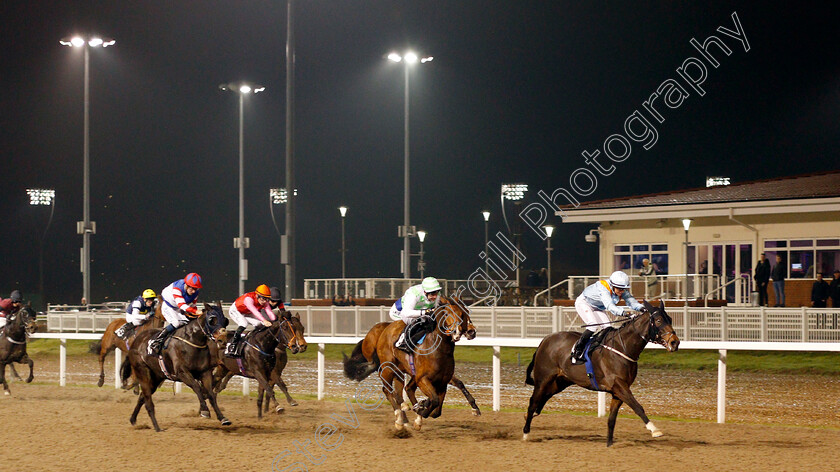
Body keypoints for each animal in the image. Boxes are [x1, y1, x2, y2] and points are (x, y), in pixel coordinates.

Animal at [121, 302, 230, 432]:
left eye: (225, 320)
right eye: (212, 319)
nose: (222, 340)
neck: (193, 341)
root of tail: (135, 342)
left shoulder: (205, 373)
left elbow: (211, 394)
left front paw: (223, 418)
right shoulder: (182, 373)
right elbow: (197, 387)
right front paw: (204, 411)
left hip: (156, 377)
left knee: (142, 397)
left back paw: (133, 419)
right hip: (143, 373)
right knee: (148, 401)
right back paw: (157, 427)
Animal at [342, 296, 472, 432]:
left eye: (463, 313)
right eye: (447, 313)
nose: (458, 331)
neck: (440, 349)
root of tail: (383, 330)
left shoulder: (442, 382)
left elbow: (436, 410)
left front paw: (421, 409)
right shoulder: (422, 379)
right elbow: (433, 400)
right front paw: (420, 412)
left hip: (399, 371)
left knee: (401, 391)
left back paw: (405, 416)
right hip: (387, 368)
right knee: (388, 390)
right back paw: (400, 418)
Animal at [520, 298, 680, 446]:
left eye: (670, 319)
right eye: (658, 320)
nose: (675, 342)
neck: (623, 347)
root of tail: (545, 339)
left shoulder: (618, 391)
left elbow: (612, 419)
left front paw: (609, 444)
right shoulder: (619, 385)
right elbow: (637, 407)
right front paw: (655, 430)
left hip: (560, 382)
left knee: (541, 400)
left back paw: (530, 417)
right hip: (543, 379)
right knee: (533, 402)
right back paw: (526, 434)